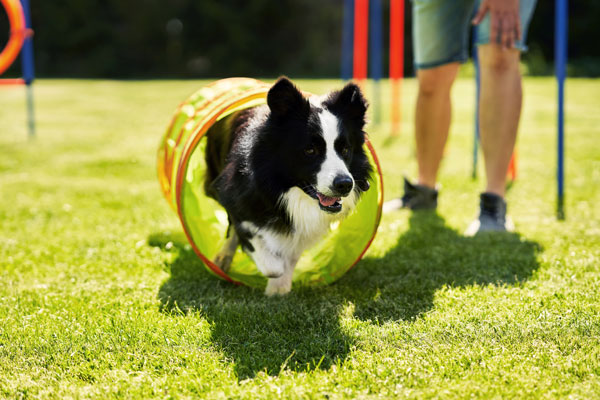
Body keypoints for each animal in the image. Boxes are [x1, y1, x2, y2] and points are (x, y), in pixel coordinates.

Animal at [205, 76, 370, 294]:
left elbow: (291, 252)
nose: (344, 184)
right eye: (310, 150)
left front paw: (279, 288)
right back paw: (223, 257)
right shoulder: (235, 193)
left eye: (345, 149)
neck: (283, 189)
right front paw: (273, 272)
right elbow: (264, 254)